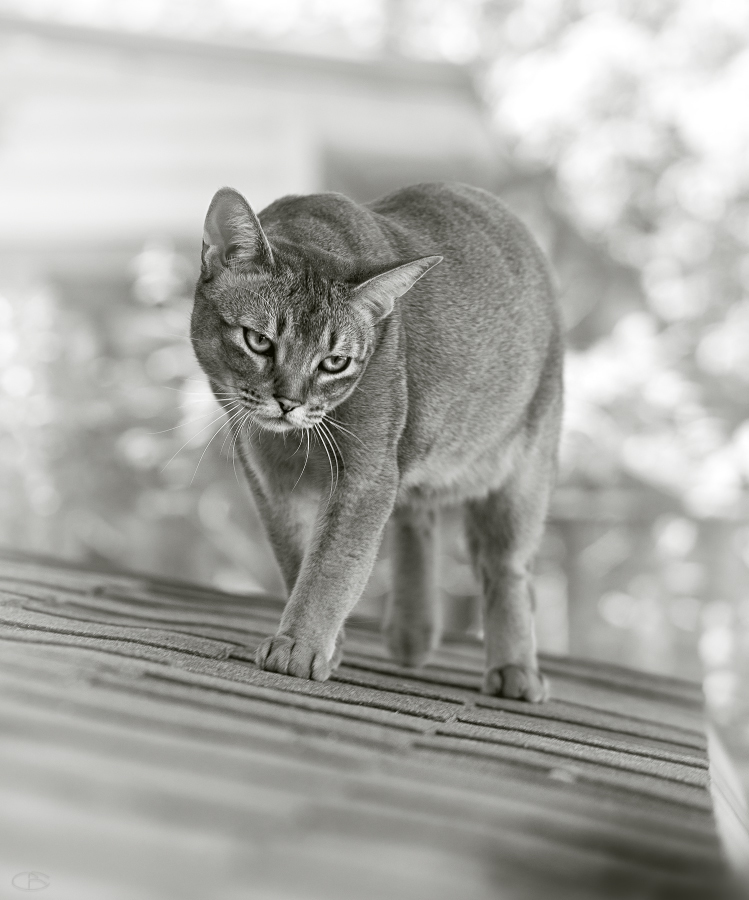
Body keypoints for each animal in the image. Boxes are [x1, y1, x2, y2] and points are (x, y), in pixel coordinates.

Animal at [191, 181, 560, 704]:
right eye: (258, 341)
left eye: (335, 362)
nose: (288, 402)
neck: (294, 443)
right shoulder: (268, 477)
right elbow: (297, 555)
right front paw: (325, 646)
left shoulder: (366, 474)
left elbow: (334, 564)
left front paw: (300, 647)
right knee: (416, 516)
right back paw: (412, 632)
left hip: (523, 468)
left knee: (506, 565)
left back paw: (515, 669)